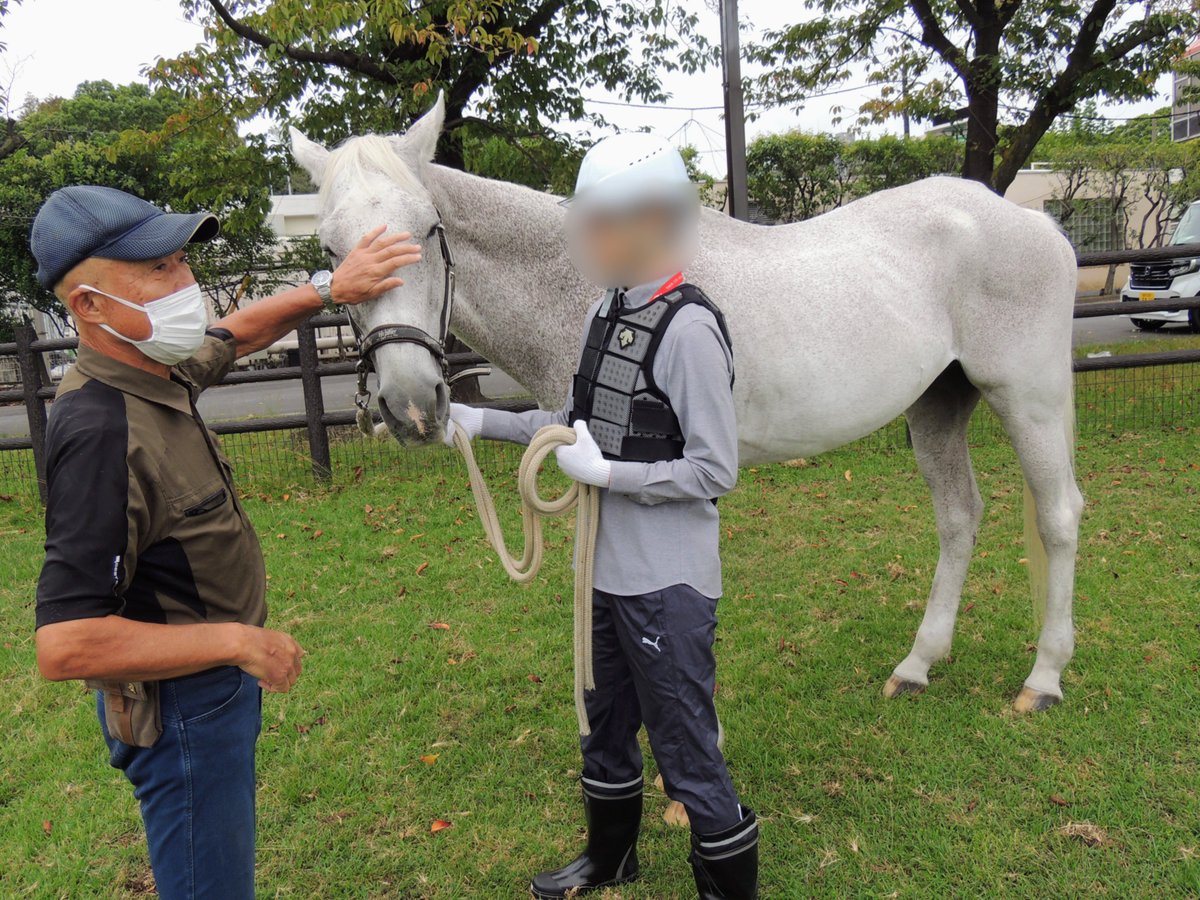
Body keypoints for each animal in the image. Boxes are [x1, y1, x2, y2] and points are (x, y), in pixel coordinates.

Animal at [289, 94, 1084, 714]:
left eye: (428, 228)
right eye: (331, 251)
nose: (412, 403)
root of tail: (1032, 223)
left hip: (1029, 396)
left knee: (1058, 516)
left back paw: (1043, 679)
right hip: (938, 404)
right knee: (959, 517)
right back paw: (918, 665)